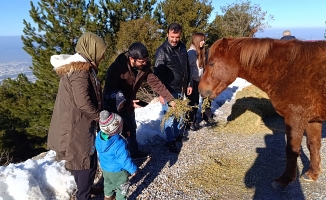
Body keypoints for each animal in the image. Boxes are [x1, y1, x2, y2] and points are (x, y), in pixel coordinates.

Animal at [199, 37, 326, 188]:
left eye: (212, 63)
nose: (200, 90)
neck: (288, 69)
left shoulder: (295, 119)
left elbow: (292, 150)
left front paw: (284, 180)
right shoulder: (313, 120)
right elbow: (313, 145)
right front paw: (312, 174)